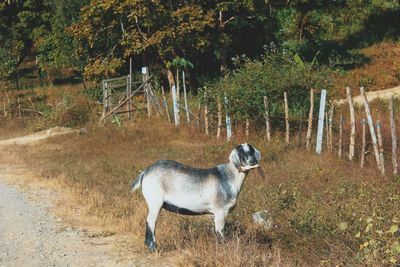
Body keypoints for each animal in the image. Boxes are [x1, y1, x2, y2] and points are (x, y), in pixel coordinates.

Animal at [131, 144, 260, 251]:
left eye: (252, 151)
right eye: (241, 152)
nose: (252, 162)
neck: (230, 177)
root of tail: (145, 172)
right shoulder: (220, 210)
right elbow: (219, 230)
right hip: (155, 201)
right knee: (151, 221)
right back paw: (153, 247)